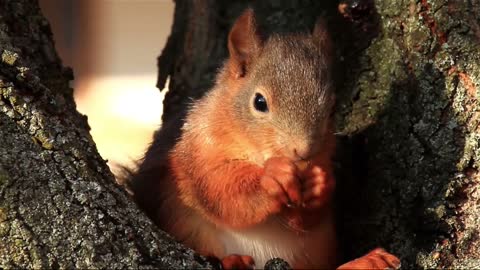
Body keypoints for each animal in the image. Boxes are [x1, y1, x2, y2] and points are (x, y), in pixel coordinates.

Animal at [128, 8, 402, 270]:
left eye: (333, 108)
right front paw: (272, 177)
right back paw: (234, 261)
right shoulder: (196, 149)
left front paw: (320, 182)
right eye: (259, 102)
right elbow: (219, 189)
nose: (304, 151)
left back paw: (365, 262)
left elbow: (307, 220)